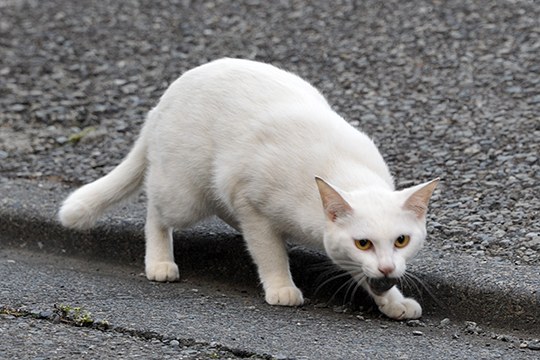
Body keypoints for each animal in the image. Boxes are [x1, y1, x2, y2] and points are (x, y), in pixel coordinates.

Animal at [59, 59, 438, 320]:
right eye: (364, 243)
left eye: (401, 240)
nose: (388, 269)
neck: (343, 170)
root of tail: (163, 101)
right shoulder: (252, 203)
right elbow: (268, 252)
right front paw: (281, 286)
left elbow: (362, 274)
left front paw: (392, 302)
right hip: (184, 195)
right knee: (155, 210)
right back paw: (160, 261)